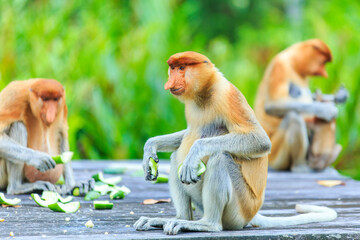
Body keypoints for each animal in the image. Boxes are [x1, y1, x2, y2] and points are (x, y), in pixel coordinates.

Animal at [134, 51, 336, 234]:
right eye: (173, 68)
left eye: (182, 68)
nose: (170, 83)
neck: (204, 92)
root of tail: (252, 214)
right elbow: (187, 134)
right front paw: (151, 147)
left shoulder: (226, 96)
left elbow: (260, 140)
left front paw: (194, 153)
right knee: (177, 155)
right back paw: (174, 219)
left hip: (239, 209)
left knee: (220, 158)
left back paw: (206, 224)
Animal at [255, 38, 348, 172]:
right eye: (323, 62)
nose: (325, 73)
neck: (294, 64)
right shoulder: (280, 66)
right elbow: (272, 105)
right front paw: (327, 110)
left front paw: (340, 96)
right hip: (275, 157)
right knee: (294, 119)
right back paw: (301, 167)